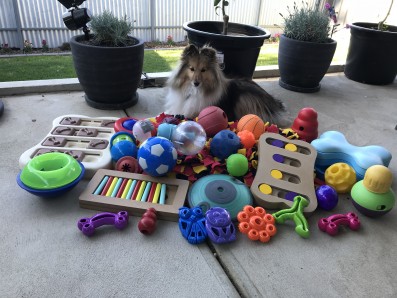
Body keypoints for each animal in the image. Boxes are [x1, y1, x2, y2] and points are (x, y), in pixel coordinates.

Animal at [162, 44, 290, 127]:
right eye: (192, 69)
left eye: (203, 70)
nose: (196, 83)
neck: (194, 91)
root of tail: (274, 104)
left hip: (243, 99)